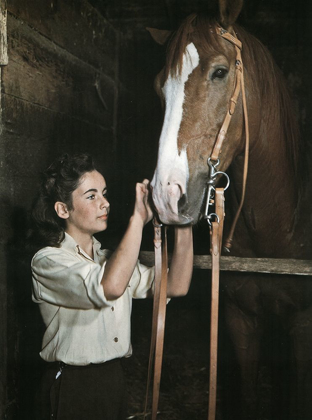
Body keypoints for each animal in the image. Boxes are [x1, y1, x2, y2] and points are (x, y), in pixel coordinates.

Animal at [148, 1, 312, 418]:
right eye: (160, 86)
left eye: (220, 72)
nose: (166, 195)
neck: (275, 224)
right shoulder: (240, 321)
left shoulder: (302, 326)